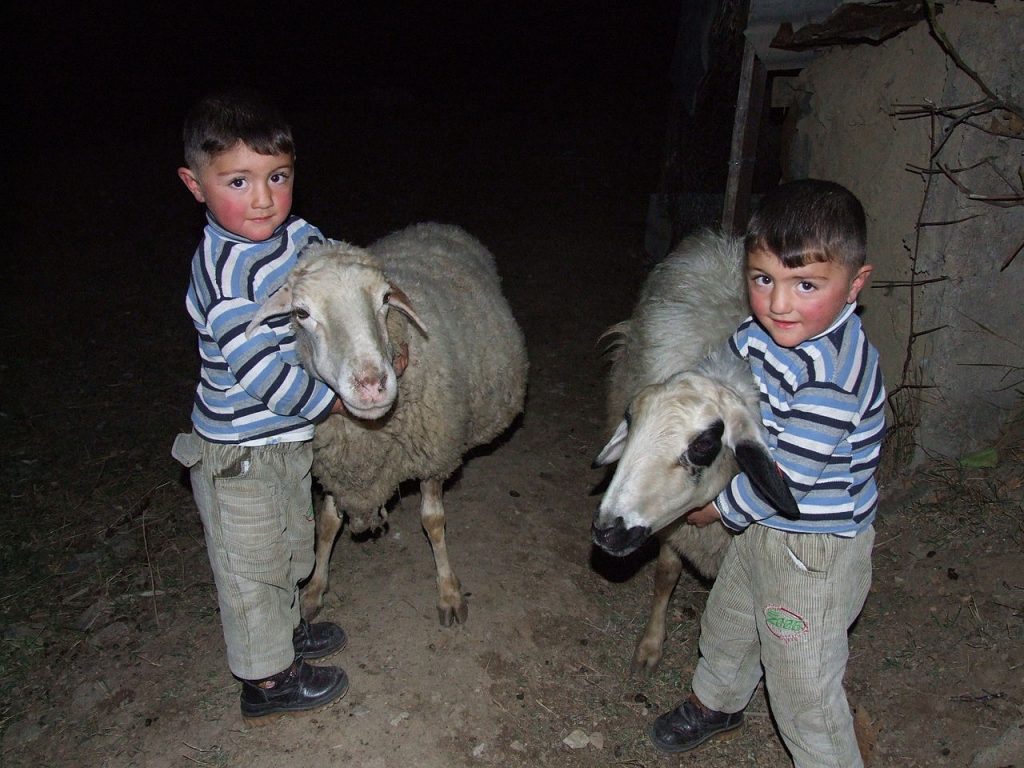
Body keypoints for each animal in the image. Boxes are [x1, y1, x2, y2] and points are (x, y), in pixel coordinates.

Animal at [247, 222, 528, 626]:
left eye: (384, 300)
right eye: (301, 312)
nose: (371, 384)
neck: (365, 436)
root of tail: (435, 225)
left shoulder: (434, 457)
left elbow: (433, 521)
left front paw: (448, 592)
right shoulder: (337, 466)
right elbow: (327, 524)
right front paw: (314, 589)